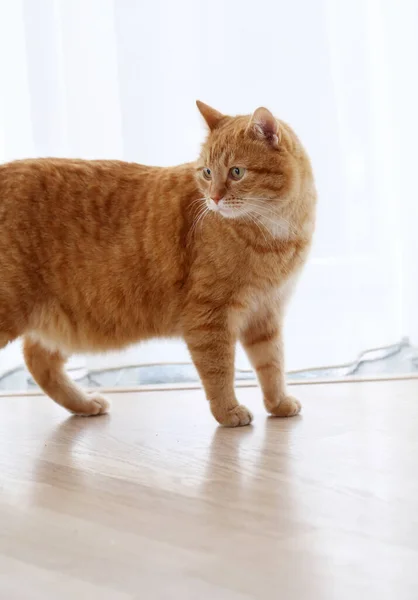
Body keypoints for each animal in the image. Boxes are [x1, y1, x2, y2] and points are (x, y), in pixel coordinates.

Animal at [0, 99, 316, 426]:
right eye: (207, 172)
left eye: (237, 172)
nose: (214, 198)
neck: (274, 236)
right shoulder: (209, 317)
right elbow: (219, 372)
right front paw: (228, 411)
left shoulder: (266, 314)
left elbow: (272, 365)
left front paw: (278, 403)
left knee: (37, 360)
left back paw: (84, 404)